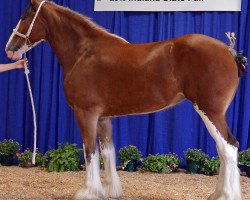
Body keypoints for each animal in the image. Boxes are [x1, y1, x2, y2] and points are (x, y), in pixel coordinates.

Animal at [4, 0, 245, 199]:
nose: (9, 50)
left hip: (210, 111)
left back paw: (225, 195)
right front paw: (111, 191)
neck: (84, 53)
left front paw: (89, 192)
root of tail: (229, 50)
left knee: (228, 148)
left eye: (23, 17)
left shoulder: (85, 113)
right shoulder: (103, 118)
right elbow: (108, 151)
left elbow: (90, 151)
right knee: (224, 150)